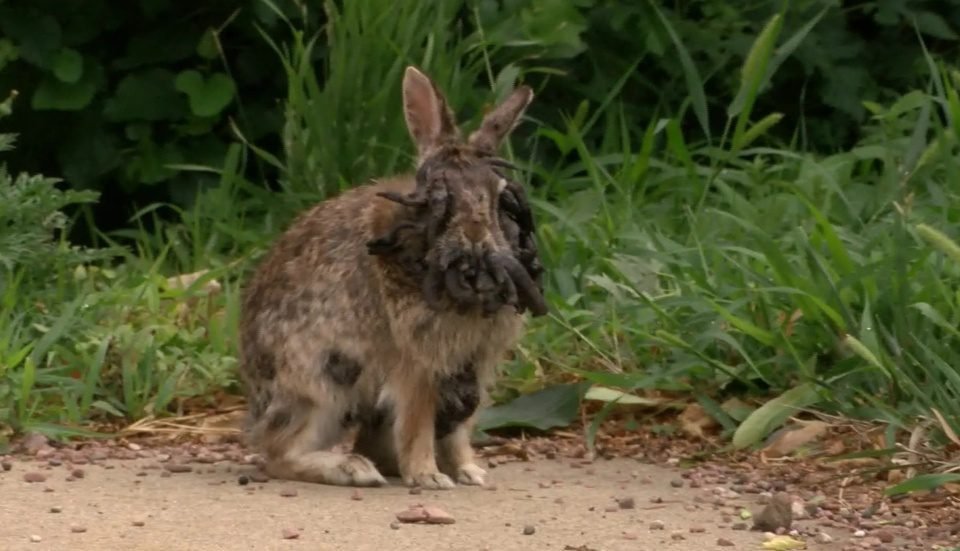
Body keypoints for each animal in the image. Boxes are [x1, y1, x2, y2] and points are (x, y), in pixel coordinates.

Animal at [237, 65, 547, 490]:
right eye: (437, 195)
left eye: (499, 193)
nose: (475, 236)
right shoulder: (415, 364)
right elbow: (417, 421)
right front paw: (429, 477)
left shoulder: (473, 366)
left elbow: (459, 430)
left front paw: (470, 471)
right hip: (321, 385)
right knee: (279, 453)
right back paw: (354, 469)